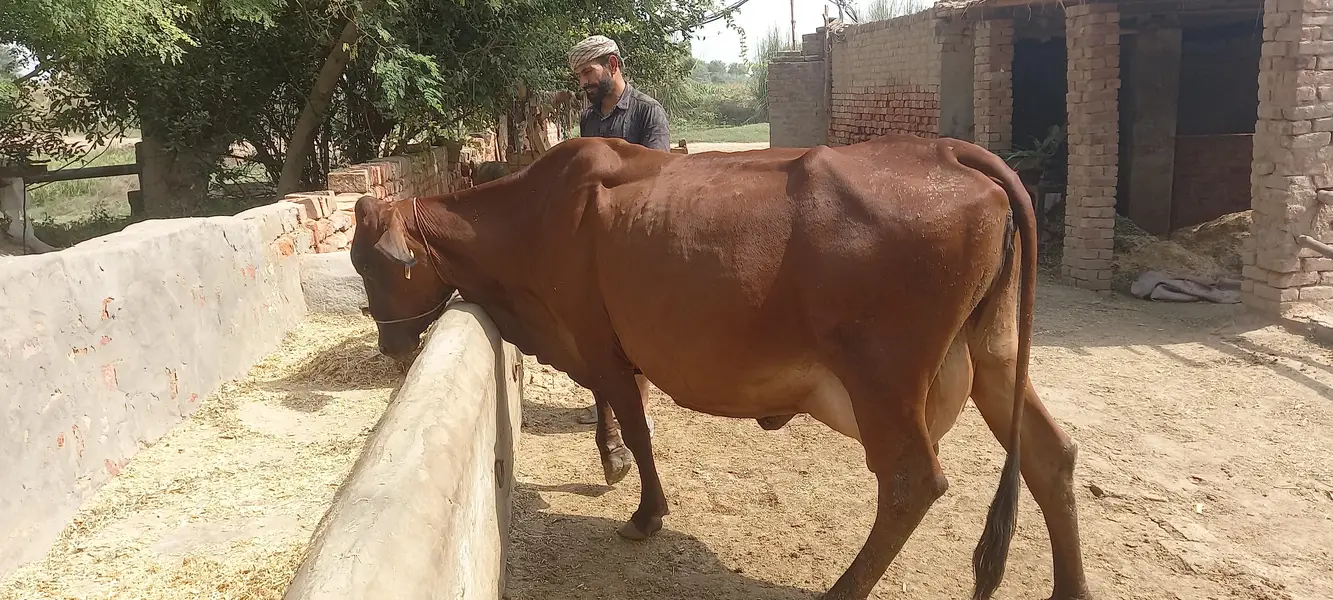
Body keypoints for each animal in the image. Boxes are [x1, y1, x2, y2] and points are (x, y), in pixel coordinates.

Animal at [349, 134, 1091, 600]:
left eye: (374, 265)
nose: (390, 346)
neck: (525, 222)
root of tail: (949, 150)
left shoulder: (597, 340)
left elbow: (637, 423)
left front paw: (645, 511)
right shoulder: (596, 343)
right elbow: (612, 411)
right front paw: (611, 462)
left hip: (884, 378)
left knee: (912, 481)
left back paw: (841, 588)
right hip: (995, 358)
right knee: (1050, 455)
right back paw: (1070, 586)